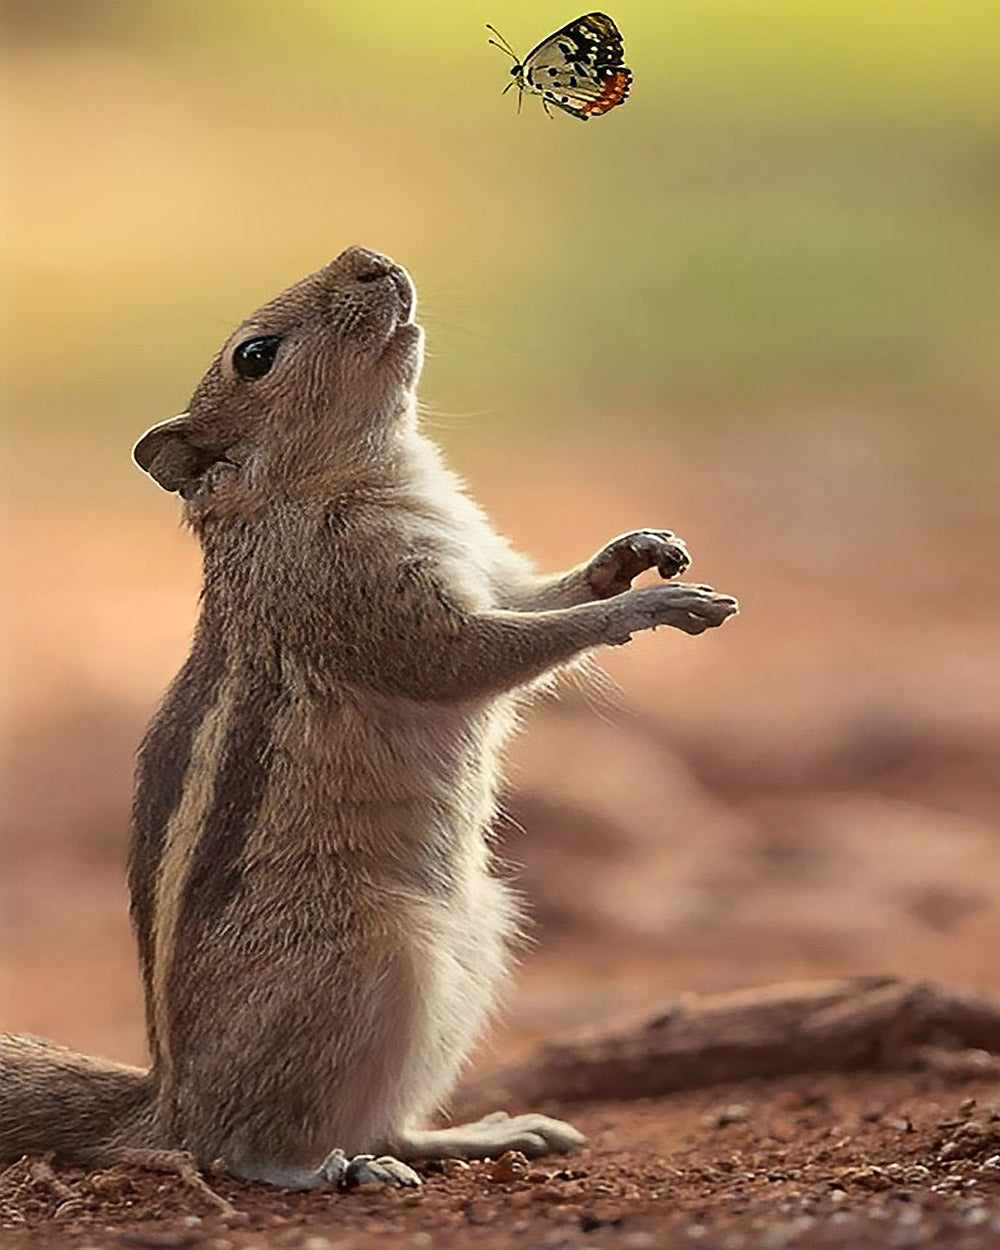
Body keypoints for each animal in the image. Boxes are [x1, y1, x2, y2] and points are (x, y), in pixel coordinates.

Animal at [0, 247, 738, 1190]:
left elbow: (543, 596)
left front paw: (635, 553)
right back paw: (330, 1171)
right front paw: (652, 605)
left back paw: (477, 1135)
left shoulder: (487, 569)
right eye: (254, 357)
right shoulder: (375, 604)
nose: (370, 258)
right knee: (235, 1148)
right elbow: (484, 655)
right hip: (372, 957)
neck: (375, 472)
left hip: (477, 943)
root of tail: (169, 1099)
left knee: (385, 1120)